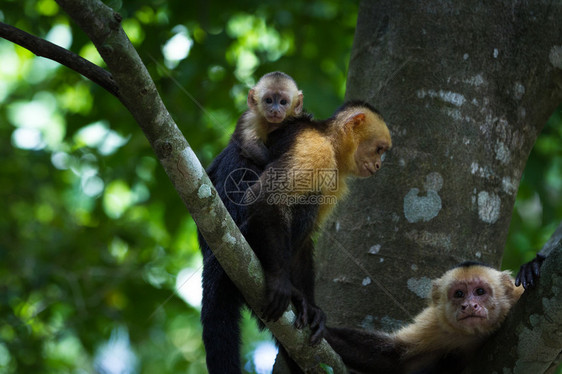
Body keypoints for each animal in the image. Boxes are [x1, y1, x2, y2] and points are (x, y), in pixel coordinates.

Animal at [198, 100, 390, 374]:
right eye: (378, 149)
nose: (378, 165)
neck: (329, 139)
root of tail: (211, 254)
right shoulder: (315, 149)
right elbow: (266, 198)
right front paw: (281, 283)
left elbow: (305, 243)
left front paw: (312, 308)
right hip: (240, 238)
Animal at [326, 262, 524, 374]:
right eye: (459, 294)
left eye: (480, 291)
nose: (469, 306)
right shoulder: (436, 324)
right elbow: (395, 359)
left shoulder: (518, 296)